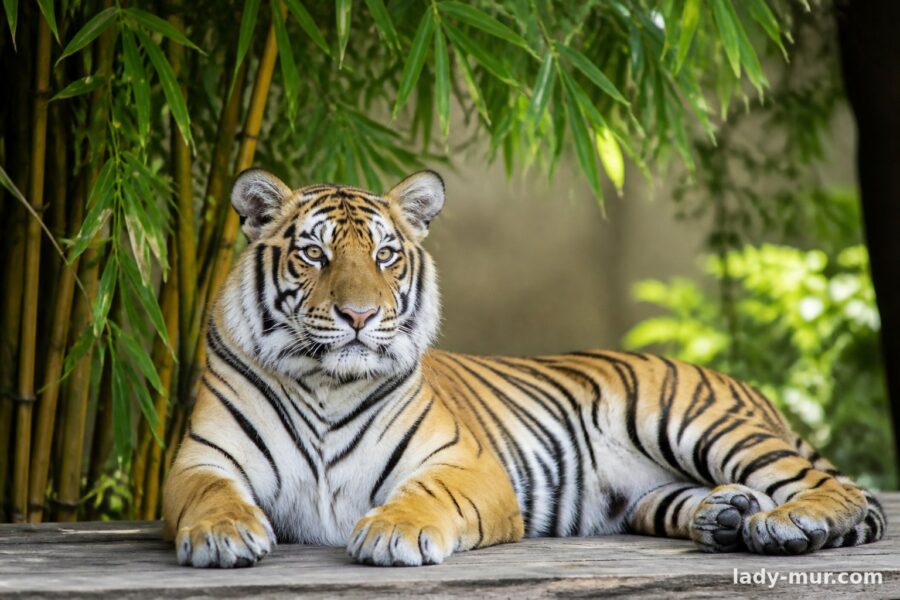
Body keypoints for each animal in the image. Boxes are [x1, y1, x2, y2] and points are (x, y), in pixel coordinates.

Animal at [163, 168, 886, 568]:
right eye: (313, 254)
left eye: (386, 255)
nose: (361, 316)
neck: (324, 385)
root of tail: (746, 388)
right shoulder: (200, 461)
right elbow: (210, 495)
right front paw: (224, 534)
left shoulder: (467, 466)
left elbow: (426, 496)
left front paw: (396, 531)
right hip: (651, 493)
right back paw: (726, 516)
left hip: (695, 421)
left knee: (840, 488)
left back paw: (786, 523)